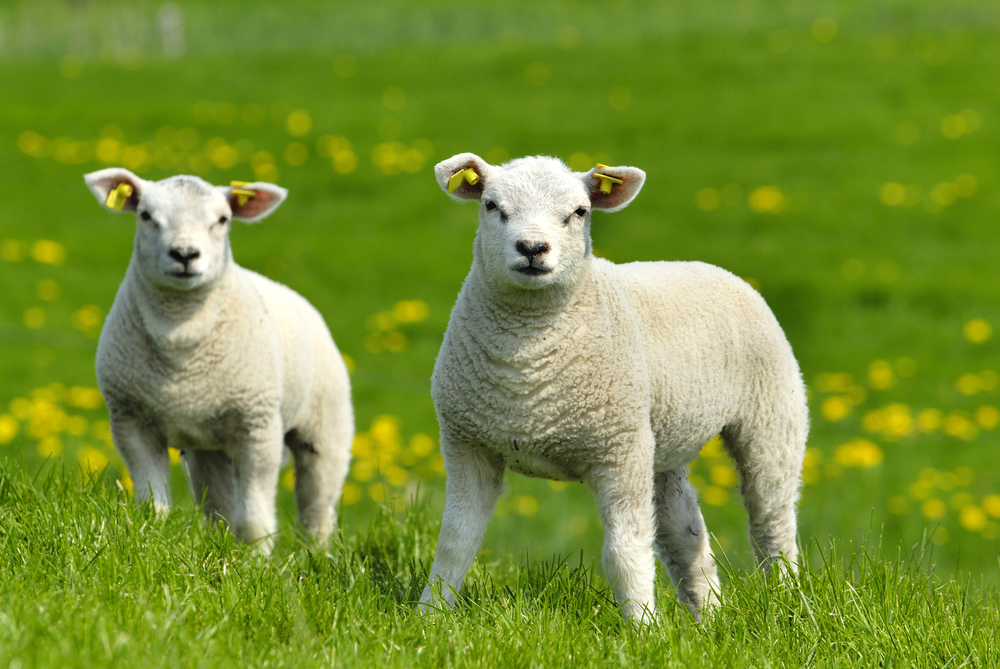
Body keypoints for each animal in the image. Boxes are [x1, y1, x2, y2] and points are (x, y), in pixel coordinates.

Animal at [83, 168, 353, 553]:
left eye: (223, 219)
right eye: (145, 215)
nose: (184, 254)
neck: (180, 342)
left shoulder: (257, 427)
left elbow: (254, 521)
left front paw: (256, 560)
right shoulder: (131, 421)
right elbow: (153, 506)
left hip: (325, 427)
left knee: (317, 509)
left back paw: (314, 556)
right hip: (208, 447)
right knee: (219, 505)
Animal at [419, 154, 808, 622]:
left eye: (579, 212)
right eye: (492, 206)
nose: (531, 249)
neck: (527, 369)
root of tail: (708, 266)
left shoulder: (619, 450)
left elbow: (624, 552)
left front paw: (643, 626)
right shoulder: (467, 443)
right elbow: (455, 542)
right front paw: (428, 616)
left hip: (772, 419)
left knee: (773, 524)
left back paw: (787, 604)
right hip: (659, 444)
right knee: (686, 534)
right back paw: (708, 617)